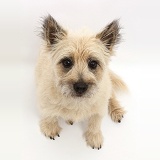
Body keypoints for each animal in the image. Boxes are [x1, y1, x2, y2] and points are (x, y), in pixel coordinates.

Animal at [35, 14, 127, 149]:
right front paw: (50, 127)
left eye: (93, 63)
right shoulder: (44, 98)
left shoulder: (99, 107)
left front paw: (94, 137)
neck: (76, 101)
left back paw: (117, 110)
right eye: (67, 62)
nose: (80, 87)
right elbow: (48, 114)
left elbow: (95, 122)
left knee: (112, 95)